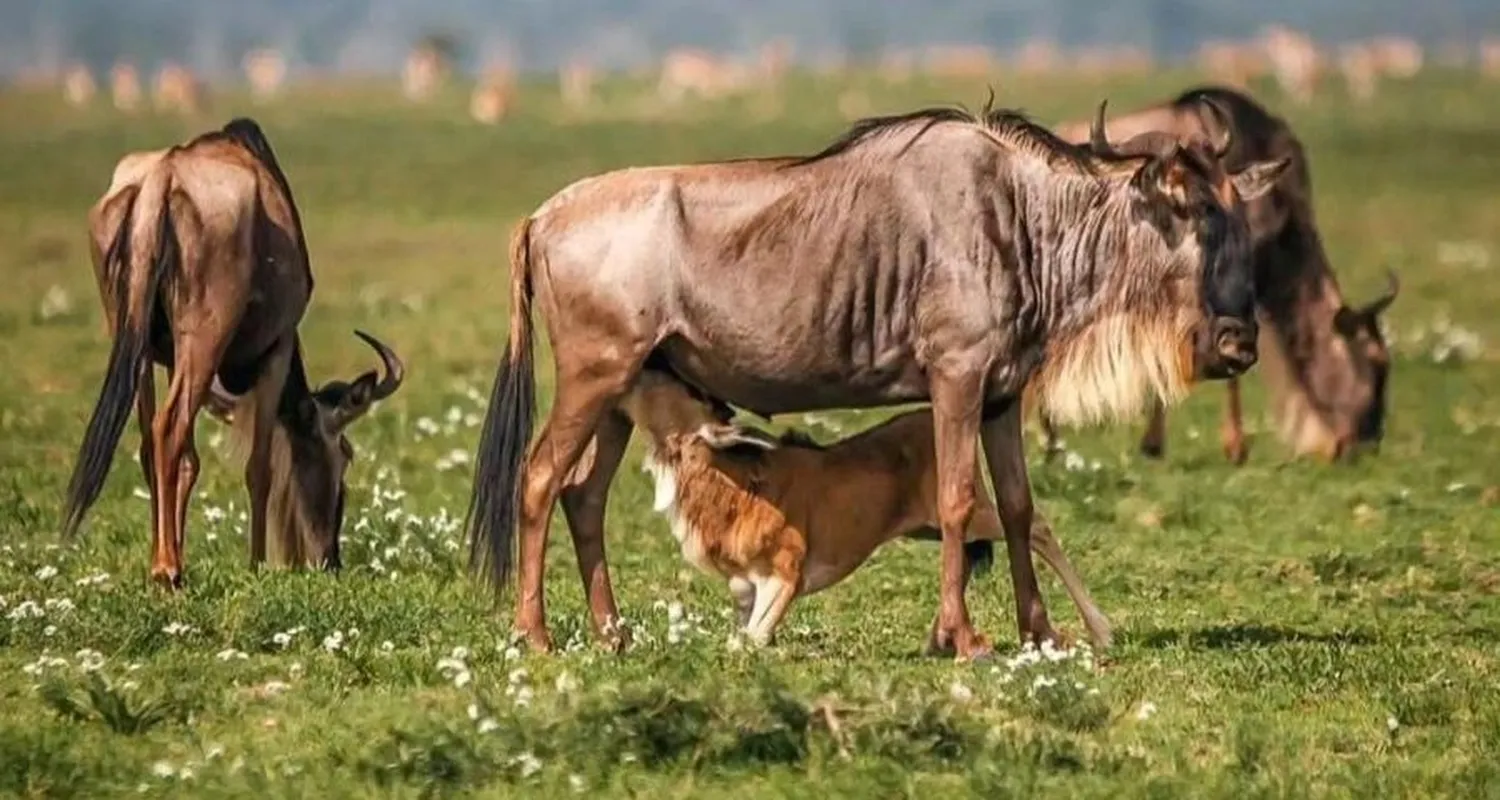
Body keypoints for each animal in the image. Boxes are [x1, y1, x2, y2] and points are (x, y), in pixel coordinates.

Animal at [64, 118, 406, 587]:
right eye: (346, 454)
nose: (330, 560)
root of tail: (162, 178)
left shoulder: (170, 359)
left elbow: (190, 461)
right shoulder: (277, 349)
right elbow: (258, 467)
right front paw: (257, 563)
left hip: (133, 342)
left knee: (153, 439)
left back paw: (163, 561)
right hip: (204, 339)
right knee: (168, 428)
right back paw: (167, 569)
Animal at [620, 369, 1113, 649]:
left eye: (685, 389)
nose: (639, 369)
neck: (733, 487)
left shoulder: (785, 575)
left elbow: (752, 640)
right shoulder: (744, 587)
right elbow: (742, 635)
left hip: (975, 514)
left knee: (1038, 527)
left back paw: (1102, 628)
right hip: (929, 527)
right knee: (964, 557)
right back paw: (940, 636)